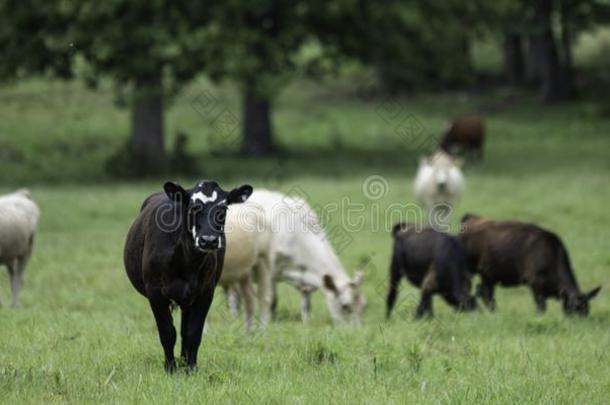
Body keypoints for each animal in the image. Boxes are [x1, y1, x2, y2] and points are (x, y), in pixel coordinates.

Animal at [123, 180, 252, 370]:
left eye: (223, 208)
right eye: (193, 207)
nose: (208, 240)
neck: (187, 262)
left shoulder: (206, 292)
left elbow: (193, 333)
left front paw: (191, 368)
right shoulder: (155, 292)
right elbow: (167, 333)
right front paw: (170, 368)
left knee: (185, 330)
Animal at [460, 213, 600, 314]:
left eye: (586, 310)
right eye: (574, 308)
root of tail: (471, 217)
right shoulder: (536, 284)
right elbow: (541, 308)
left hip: (488, 274)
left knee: (486, 293)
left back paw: (494, 313)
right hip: (469, 269)